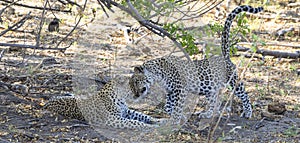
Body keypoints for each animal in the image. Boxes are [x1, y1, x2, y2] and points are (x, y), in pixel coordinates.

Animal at [130, 5, 264, 120]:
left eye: (136, 82)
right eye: (131, 85)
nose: (135, 95)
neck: (156, 74)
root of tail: (225, 57)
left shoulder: (179, 89)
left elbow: (177, 106)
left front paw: (178, 117)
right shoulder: (170, 91)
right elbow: (168, 107)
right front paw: (174, 115)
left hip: (232, 81)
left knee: (244, 94)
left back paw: (248, 112)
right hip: (211, 88)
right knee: (214, 101)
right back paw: (208, 114)